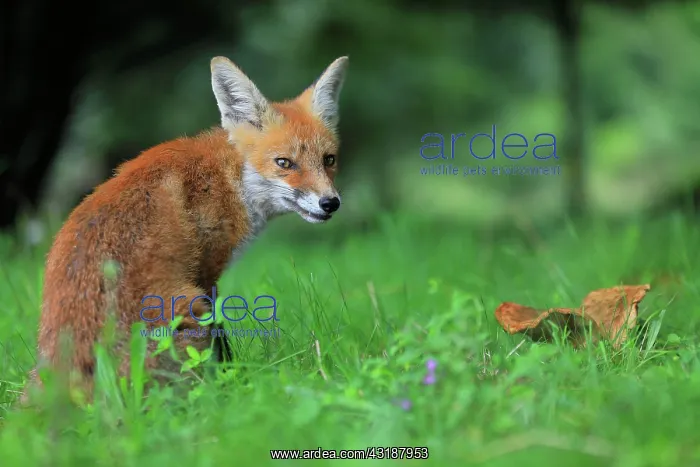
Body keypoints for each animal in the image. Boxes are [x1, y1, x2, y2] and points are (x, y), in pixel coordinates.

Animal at [21, 55, 349, 404]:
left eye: (329, 160)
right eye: (284, 163)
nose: (330, 203)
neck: (227, 178)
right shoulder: (207, 274)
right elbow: (223, 343)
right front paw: (235, 386)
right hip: (187, 309)